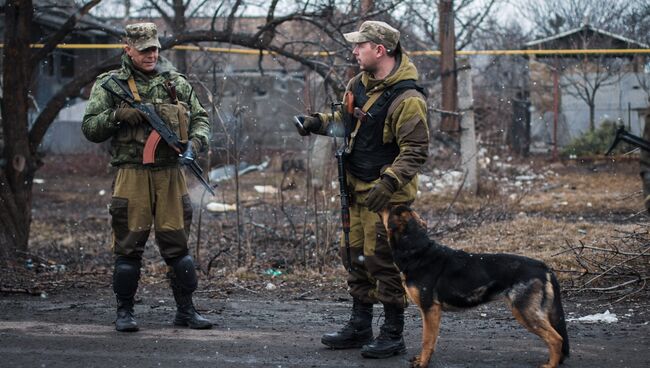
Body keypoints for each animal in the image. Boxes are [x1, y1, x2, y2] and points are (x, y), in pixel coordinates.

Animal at [380, 206, 568, 366]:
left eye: (388, 207)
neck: (417, 249)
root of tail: (543, 267)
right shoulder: (431, 312)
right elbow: (429, 339)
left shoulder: (430, 309)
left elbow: (427, 340)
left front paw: (423, 363)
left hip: (525, 312)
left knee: (556, 339)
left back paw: (550, 365)